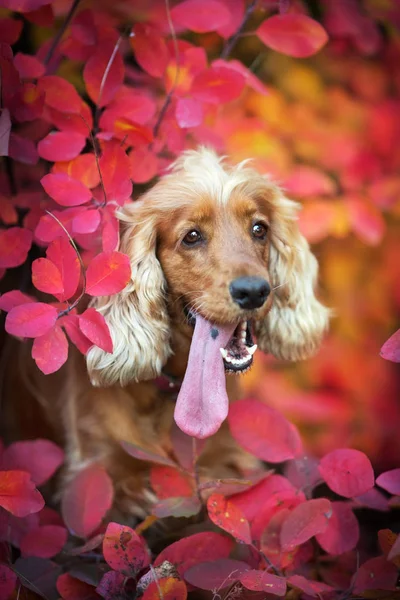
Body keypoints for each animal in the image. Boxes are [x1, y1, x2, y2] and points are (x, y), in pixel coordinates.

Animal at [0, 149, 328, 520]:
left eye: (259, 229)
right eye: (192, 236)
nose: (254, 291)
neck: (172, 389)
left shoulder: (229, 464)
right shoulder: (99, 471)